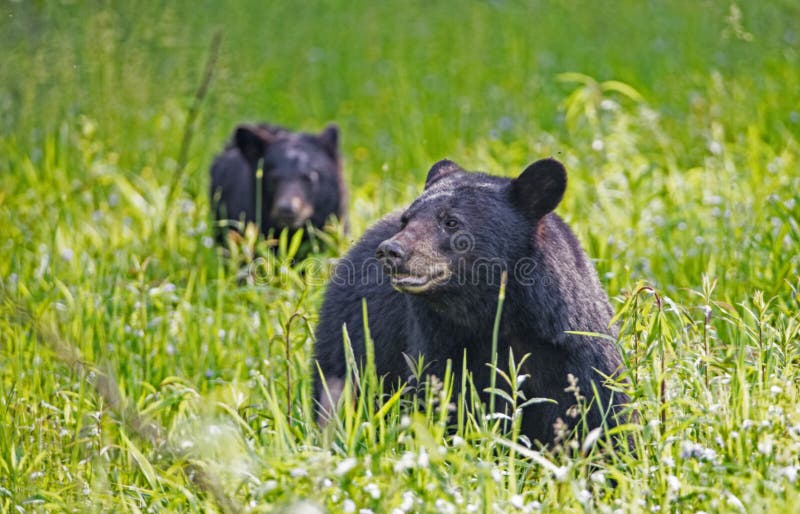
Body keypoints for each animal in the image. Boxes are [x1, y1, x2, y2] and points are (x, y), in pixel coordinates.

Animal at [314, 156, 632, 444]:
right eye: (407, 219)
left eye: (451, 221)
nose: (391, 251)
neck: (495, 313)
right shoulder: (442, 343)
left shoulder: (569, 344)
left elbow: (601, 407)